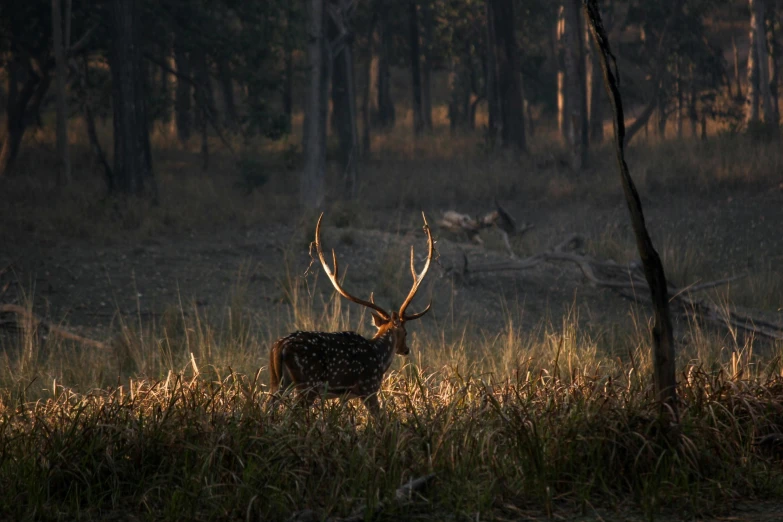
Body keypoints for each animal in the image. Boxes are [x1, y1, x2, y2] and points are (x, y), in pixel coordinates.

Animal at [270, 211, 434, 414]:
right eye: (405, 332)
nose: (406, 349)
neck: (379, 357)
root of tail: (280, 347)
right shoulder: (369, 386)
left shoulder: (345, 396)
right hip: (308, 384)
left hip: (277, 381)